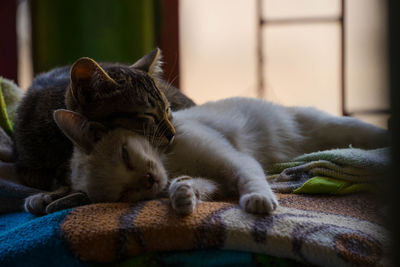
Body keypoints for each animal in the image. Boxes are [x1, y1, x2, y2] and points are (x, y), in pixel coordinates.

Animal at [24, 97, 388, 217]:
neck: (171, 163)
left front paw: (258, 201)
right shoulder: (215, 178)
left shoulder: (234, 161)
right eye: (124, 195)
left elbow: (249, 178)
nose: (150, 180)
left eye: (125, 155)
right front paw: (183, 197)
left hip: (334, 126)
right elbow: (201, 186)